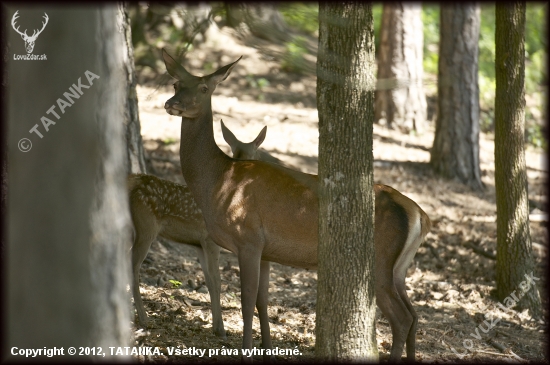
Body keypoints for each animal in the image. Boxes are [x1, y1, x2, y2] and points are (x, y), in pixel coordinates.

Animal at [162, 49, 434, 362]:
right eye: (175, 84)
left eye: (204, 88)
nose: (172, 104)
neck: (218, 181)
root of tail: (421, 215)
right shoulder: (266, 250)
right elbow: (262, 301)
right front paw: (267, 349)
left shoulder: (248, 237)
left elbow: (246, 300)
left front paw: (247, 352)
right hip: (399, 266)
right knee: (414, 315)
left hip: (379, 259)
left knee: (402, 318)